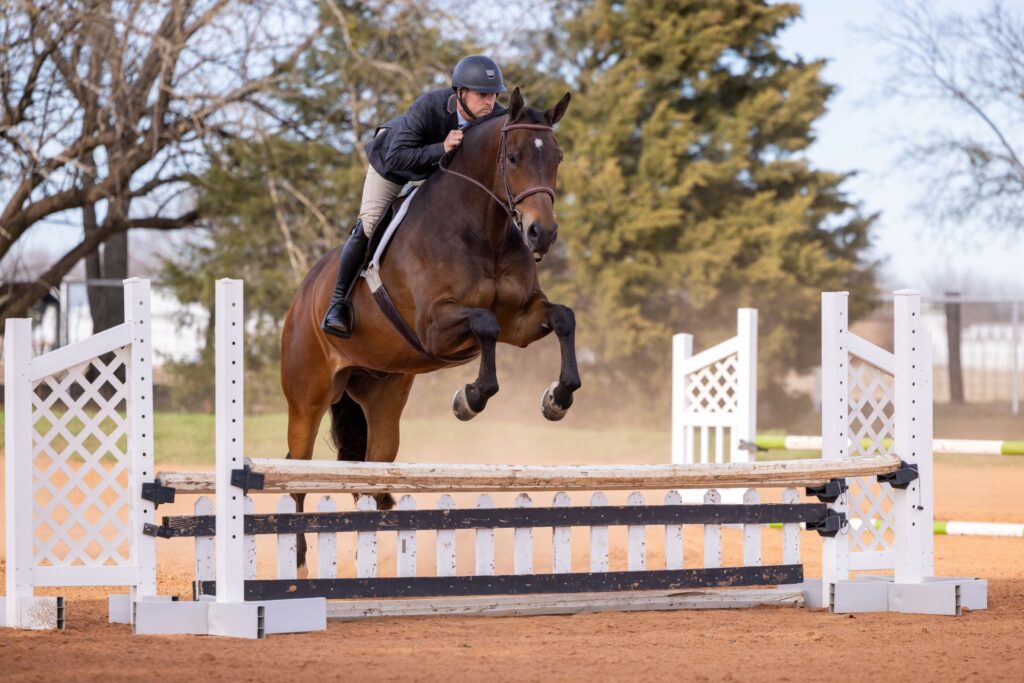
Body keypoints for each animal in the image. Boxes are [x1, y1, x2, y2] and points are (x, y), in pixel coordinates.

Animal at [279, 87, 580, 574]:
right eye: (513, 157)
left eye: (557, 157)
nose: (542, 233)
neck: (485, 227)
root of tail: (303, 296)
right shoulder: (435, 326)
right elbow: (484, 324)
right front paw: (469, 398)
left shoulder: (520, 320)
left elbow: (563, 318)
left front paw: (558, 398)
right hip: (307, 396)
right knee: (296, 470)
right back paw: (301, 560)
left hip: (381, 396)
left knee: (372, 469)